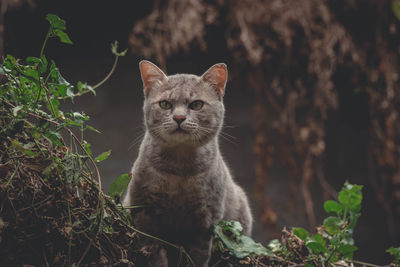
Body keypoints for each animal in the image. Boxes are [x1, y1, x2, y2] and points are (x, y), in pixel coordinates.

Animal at [123, 60, 252, 267]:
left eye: (197, 104)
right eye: (165, 104)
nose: (179, 118)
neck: (179, 168)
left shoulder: (205, 221)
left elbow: (198, 257)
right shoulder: (143, 210)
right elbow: (154, 252)